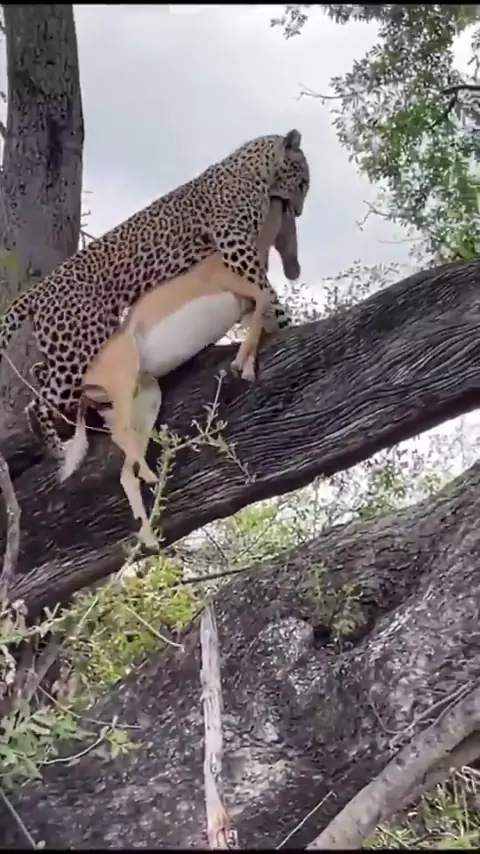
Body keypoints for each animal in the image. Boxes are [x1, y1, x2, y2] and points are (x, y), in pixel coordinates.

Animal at [0, 128, 310, 468]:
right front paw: (283, 320)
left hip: (79, 346)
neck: (256, 169)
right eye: (303, 183)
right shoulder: (234, 242)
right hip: (78, 351)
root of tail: (38, 289)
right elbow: (264, 288)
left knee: (46, 377)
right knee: (38, 404)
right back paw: (59, 448)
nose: (299, 212)